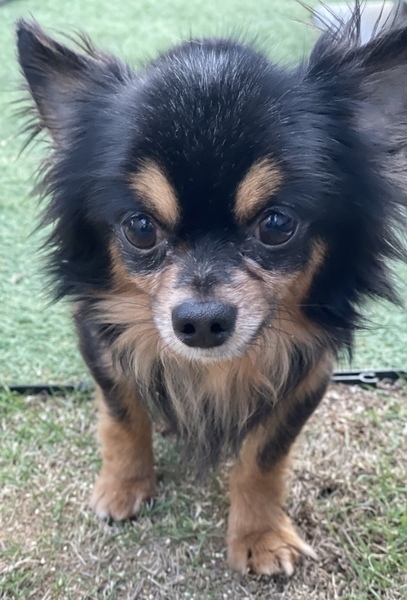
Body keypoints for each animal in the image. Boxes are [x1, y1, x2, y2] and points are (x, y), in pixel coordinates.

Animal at [17, 5, 406, 576]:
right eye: (140, 227)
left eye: (276, 224)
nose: (200, 321)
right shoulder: (99, 340)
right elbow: (124, 414)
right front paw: (124, 484)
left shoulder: (309, 371)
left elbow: (263, 456)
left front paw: (259, 534)